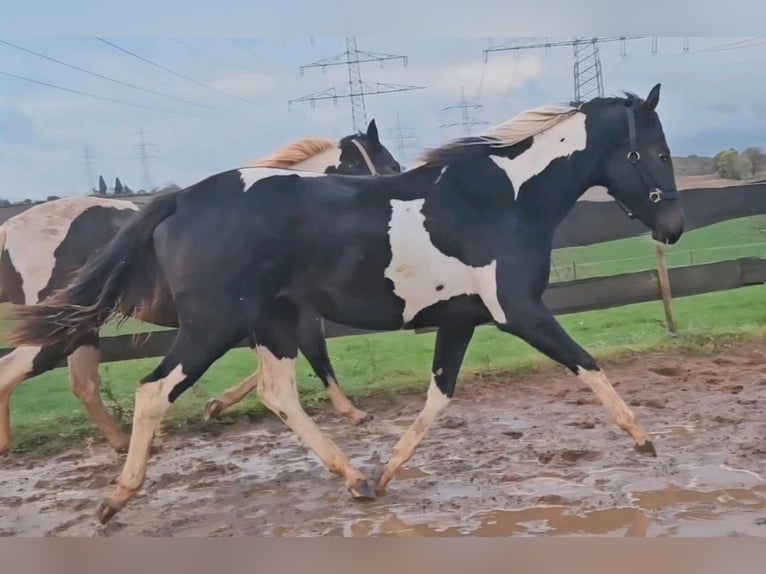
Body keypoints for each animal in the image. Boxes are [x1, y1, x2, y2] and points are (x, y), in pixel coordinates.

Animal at [0, 119, 401, 455]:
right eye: (391, 165)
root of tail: (10, 230)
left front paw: (215, 405)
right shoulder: (292, 314)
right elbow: (316, 355)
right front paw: (352, 412)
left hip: (82, 328)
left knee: (82, 384)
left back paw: (126, 444)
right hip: (57, 329)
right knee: (14, 373)